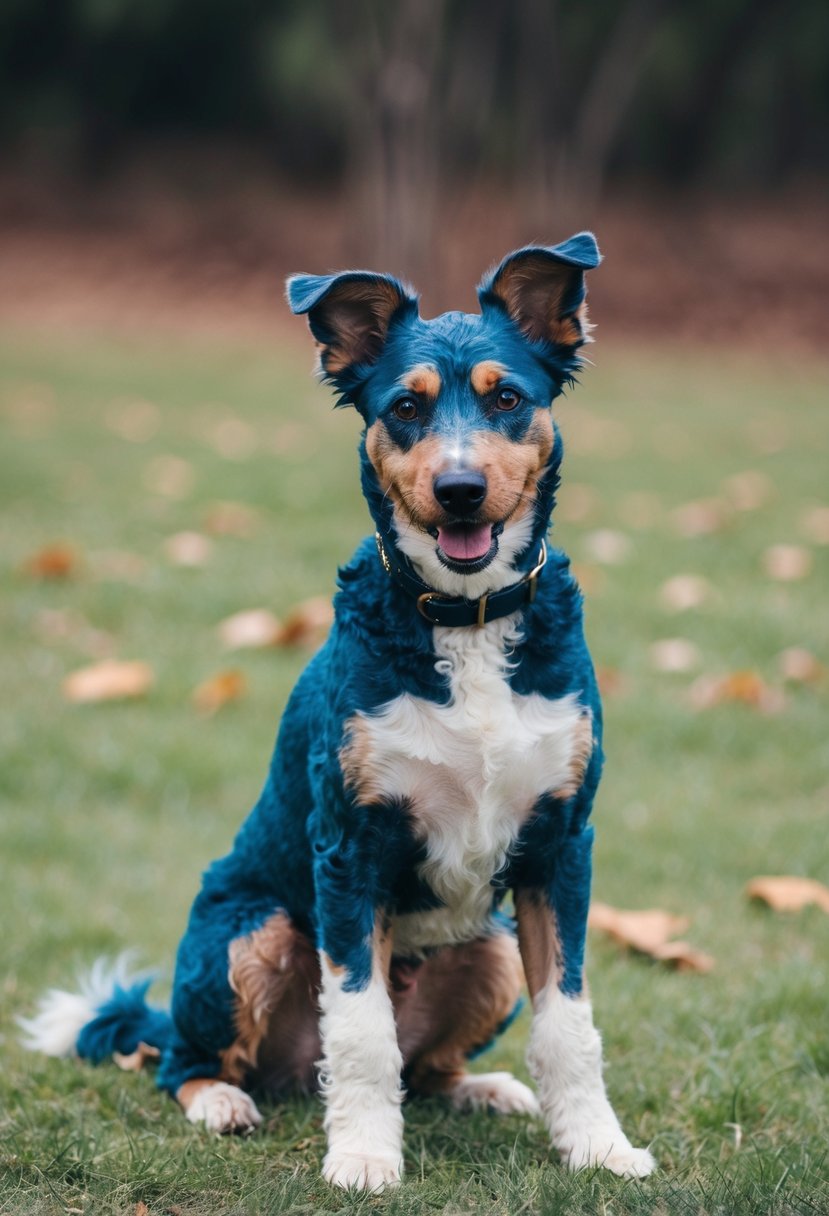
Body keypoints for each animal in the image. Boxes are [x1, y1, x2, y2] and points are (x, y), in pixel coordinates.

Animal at [24, 234, 651, 1186]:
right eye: (405, 407)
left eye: (507, 398)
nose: (460, 489)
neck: (463, 620)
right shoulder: (349, 849)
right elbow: (358, 1031)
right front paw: (361, 1155)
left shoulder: (560, 843)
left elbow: (569, 1022)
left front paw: (597, 1145)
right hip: (249, 929)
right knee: (188, 1060)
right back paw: (222, 1101)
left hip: (491, 946)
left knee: (426, 1067)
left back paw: (482, 1088)